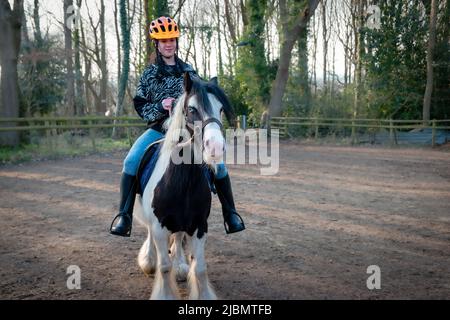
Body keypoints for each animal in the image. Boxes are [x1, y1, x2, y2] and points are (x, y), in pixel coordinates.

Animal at [134, 72, 234, 300]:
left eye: (221, 109)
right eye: (192, 109)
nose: (216, 148)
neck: (183, 182)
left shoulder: (199, 226)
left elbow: (200, 269)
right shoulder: (159, 227)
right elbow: (164, 267)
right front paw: (164, 293)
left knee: (179, 237)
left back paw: (180, 266)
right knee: (152, 237)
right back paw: (148, 261)